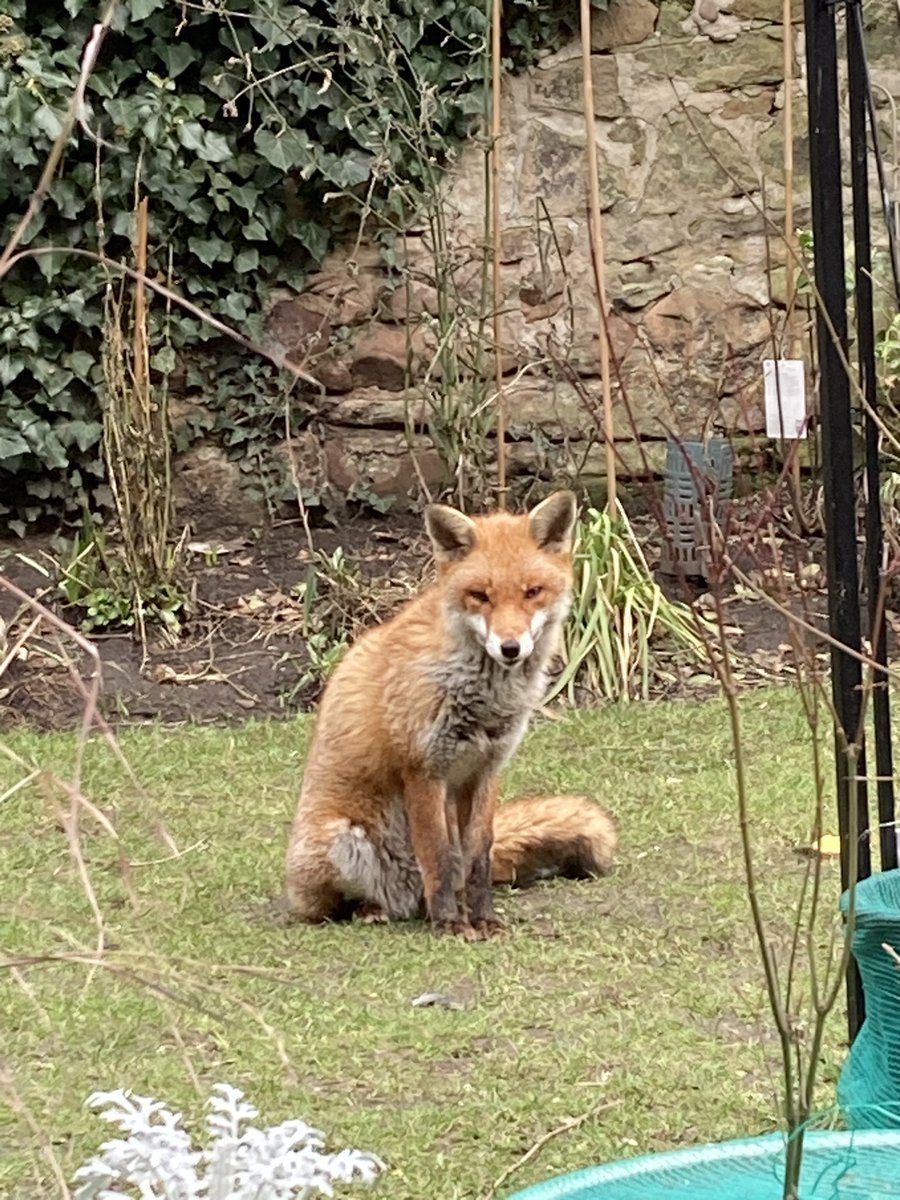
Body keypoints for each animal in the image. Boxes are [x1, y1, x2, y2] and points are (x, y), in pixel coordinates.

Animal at [284, 490, 616, 939]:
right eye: (480, 595)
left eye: (532, 592)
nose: (510, 648)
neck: (482, 697)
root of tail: (404, 898)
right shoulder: (423, 769)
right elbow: (437, 856)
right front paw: (450, 925)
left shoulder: (485, 769)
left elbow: (478, 857)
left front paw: (483, 918)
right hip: (338, 840)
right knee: (336, 906)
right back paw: (378, 909)